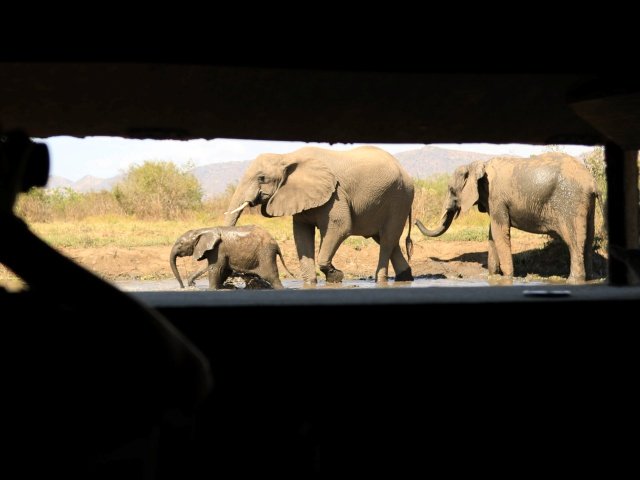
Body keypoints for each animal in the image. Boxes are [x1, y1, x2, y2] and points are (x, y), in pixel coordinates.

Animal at [224, 144, 416, 284]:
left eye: (261, 178)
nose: (235, 275)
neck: (286, 156)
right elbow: (301, 234)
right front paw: (311, 283)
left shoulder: (335, 194)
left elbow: (340, 227)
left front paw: (335, 276)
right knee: (387, 240)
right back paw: (405, 278)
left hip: (399, 199)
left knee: (387, 239)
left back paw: (381, 280)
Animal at [416, 152, 600, 284]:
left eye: (451, 190)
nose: (416, 219)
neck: (478, 164)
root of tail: (592, 182)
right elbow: (493, 235)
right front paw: (492, 276)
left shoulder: (496, 197)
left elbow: (500, 232)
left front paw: (507, 278)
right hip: (587, 205)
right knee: (588, 239)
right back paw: (590, 278)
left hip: (570, 202)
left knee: (573, 241)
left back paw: (573, 280)